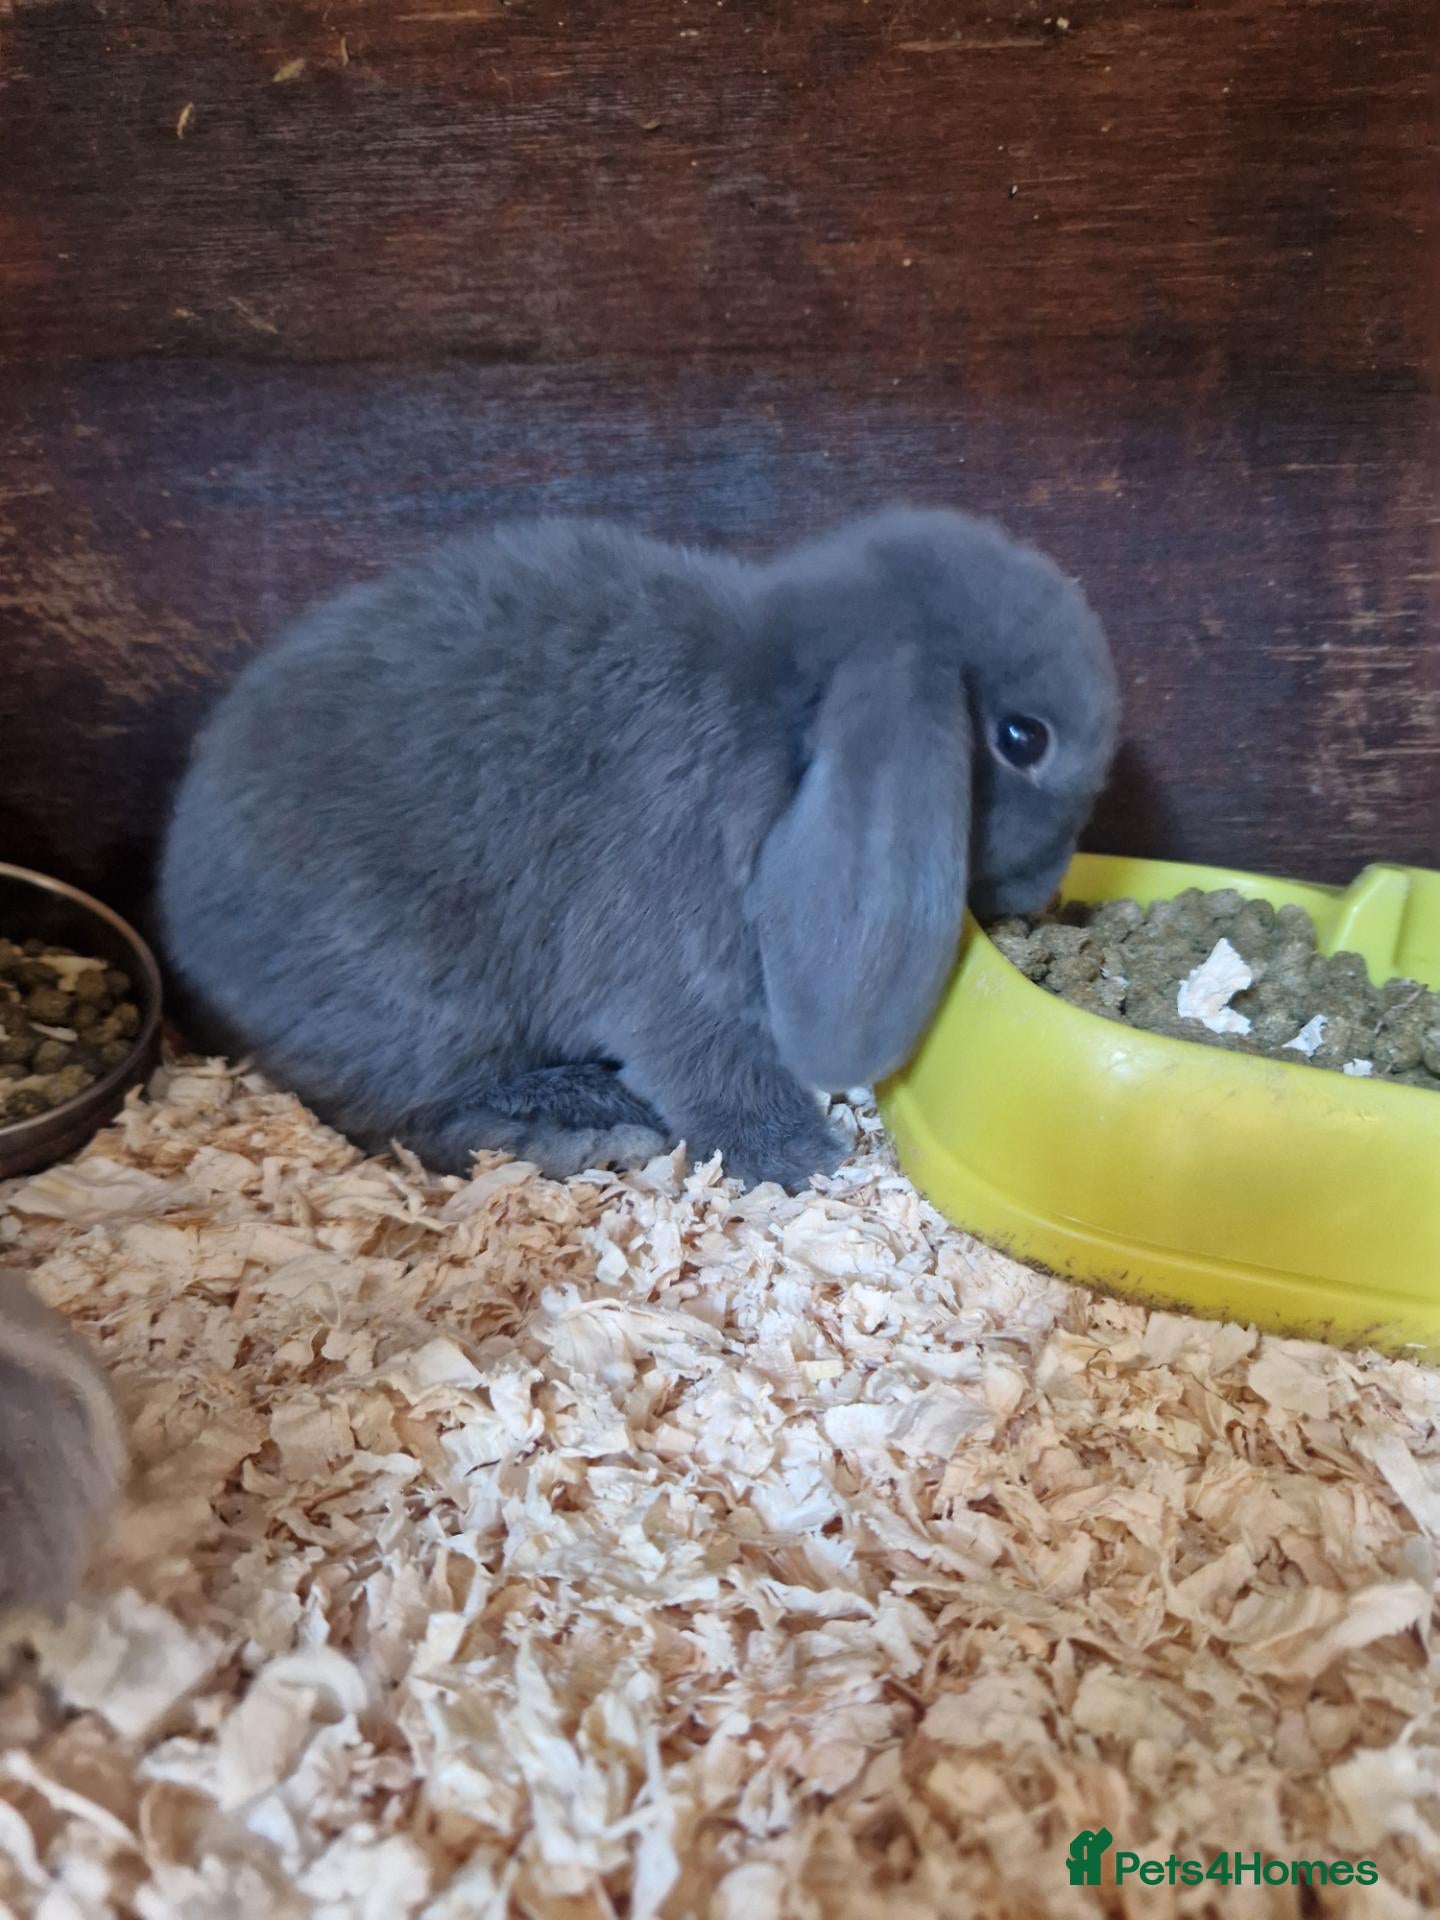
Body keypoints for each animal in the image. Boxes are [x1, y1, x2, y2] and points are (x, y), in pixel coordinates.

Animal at [159, 508, 1119, 1189]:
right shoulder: (674, 979)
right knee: (403, 1121)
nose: (1044, 889)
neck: (781, 723)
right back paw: (584, 1132)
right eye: (1022, 737)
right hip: (423, 1004)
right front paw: (804, 1161)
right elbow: (721, 1075)